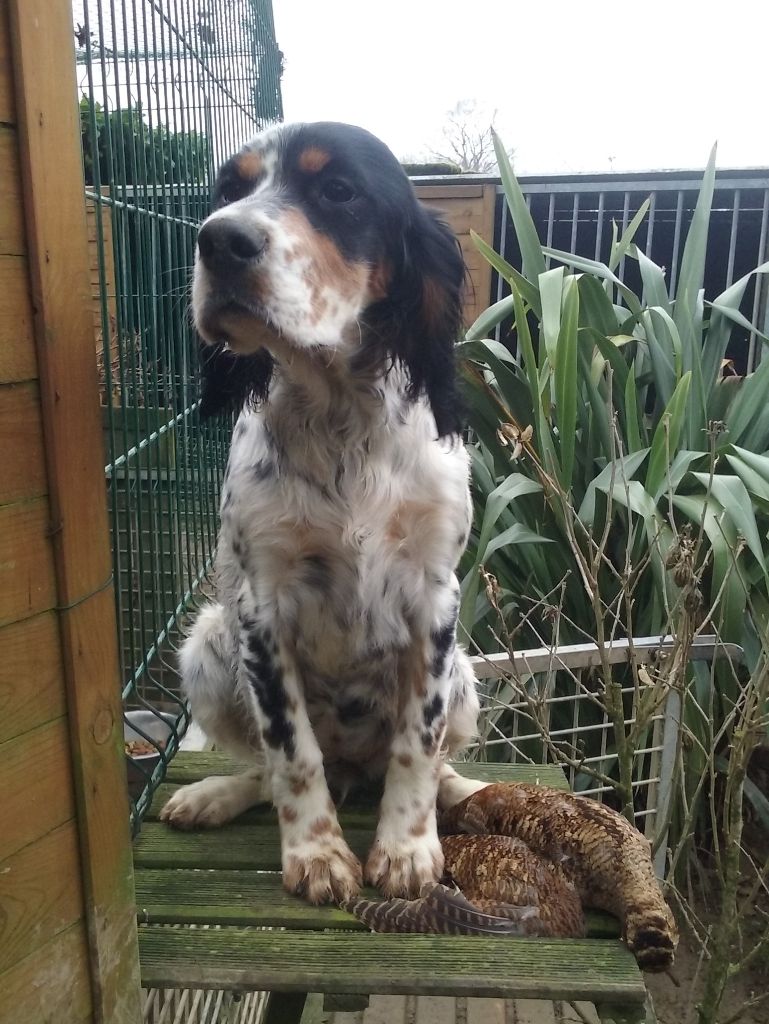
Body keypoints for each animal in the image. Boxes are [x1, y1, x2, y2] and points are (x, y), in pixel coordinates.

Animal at [159, 121, 479, 905]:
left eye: (337, 190)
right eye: (229, 189)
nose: (219, 240)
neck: (340, 414)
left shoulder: (436, 597)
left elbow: (416, 742)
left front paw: (405, 848)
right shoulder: (261, 605)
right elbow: (290, 749)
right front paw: (318, 853)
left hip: (465, 676)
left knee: (436, 756)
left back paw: (462, 791)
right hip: (208, 648)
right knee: (268, 767)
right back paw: (214, 794)